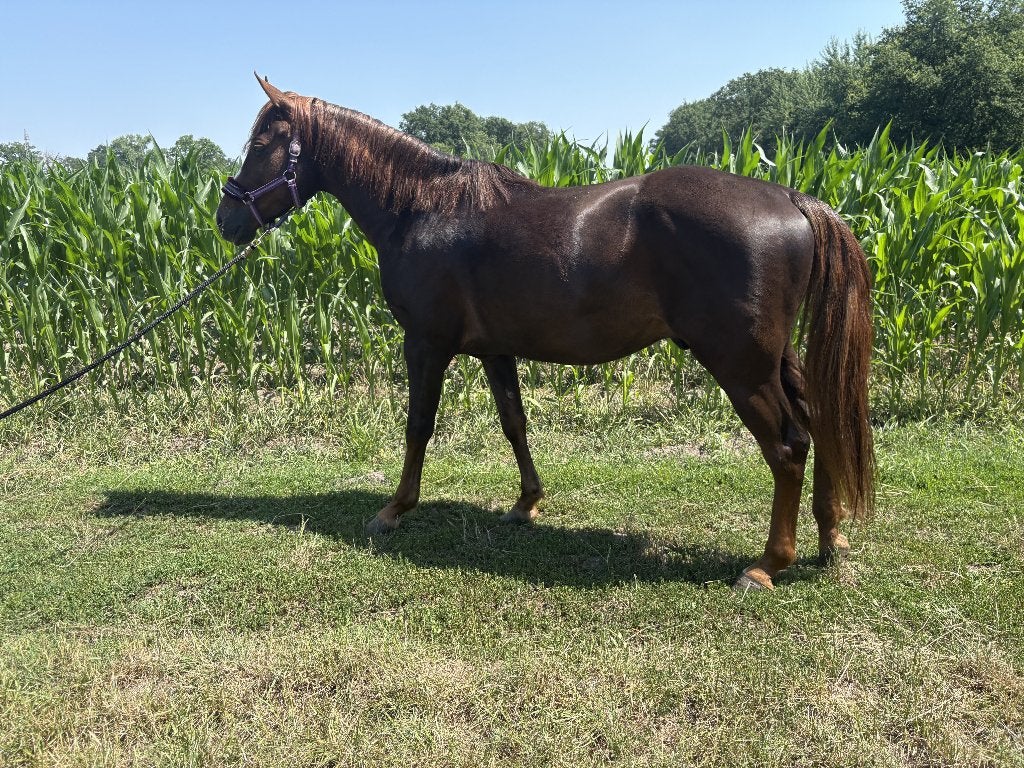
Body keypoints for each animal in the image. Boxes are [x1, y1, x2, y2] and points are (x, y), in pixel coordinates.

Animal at [216, 75, 874, 590]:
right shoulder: (495, 349)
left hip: (741, 364)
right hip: (776, 358)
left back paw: (768, 564)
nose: (224, 220)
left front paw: (394, 510)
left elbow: (419, 426)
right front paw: (525, 504)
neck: (424, 208)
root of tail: (791, 196)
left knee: (788, 446)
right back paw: (829, 538)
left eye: (262, 144)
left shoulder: (426, 343)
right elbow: (514, 422)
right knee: (818, 422)